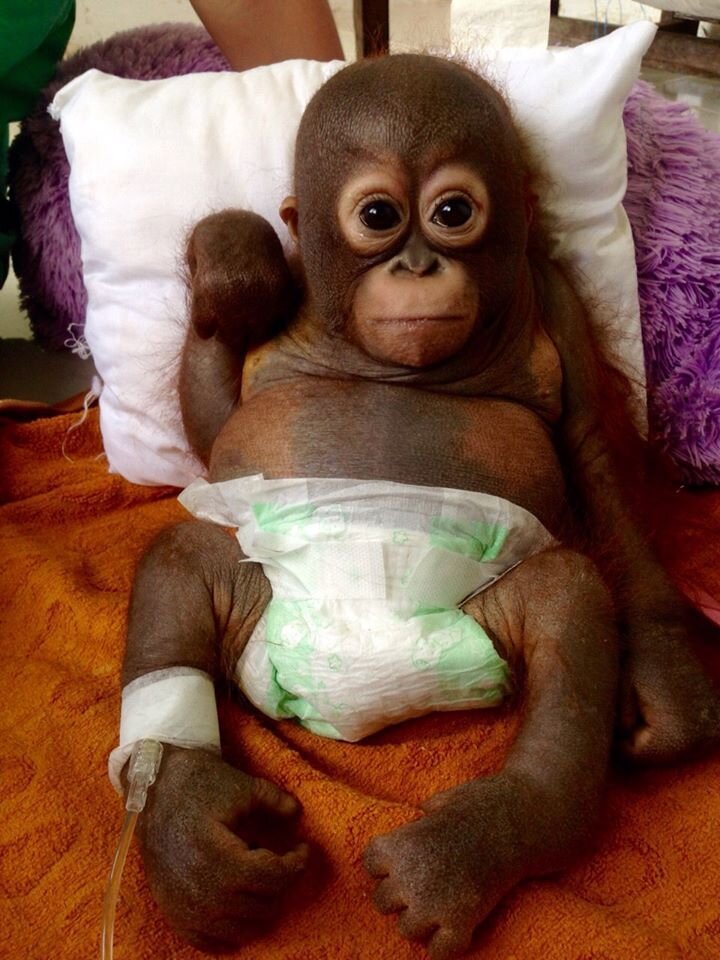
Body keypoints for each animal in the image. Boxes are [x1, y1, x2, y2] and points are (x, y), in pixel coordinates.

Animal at [117, 54, 720, 959]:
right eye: (377, 217)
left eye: (452, 213)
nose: (415, 266)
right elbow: (217, 425)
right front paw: (230, 263)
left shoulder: (560, 299)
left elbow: (591, 451)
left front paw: (672, 687)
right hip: (257, 592)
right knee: (179, 559)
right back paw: (194, 833)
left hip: (484, 620)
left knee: (571, 600)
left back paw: (469, 850)